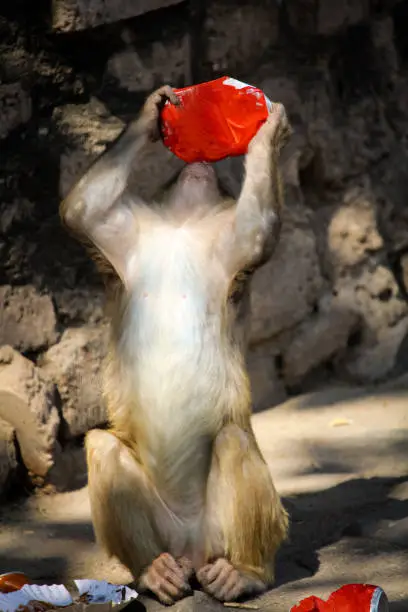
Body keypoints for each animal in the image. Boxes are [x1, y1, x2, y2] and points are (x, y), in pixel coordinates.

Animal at [59, 86, 290, 608]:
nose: (201, 162)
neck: (183, 225)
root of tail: (190, 547)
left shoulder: (232, 248)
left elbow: (256, 230)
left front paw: (267, 131)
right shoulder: (125, 238)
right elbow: (82, 213)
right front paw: (152, 113)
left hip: (221, 532)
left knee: (231, 439)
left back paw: (246, 574)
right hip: (160, 525)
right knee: (103, 446)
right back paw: (153, 572)